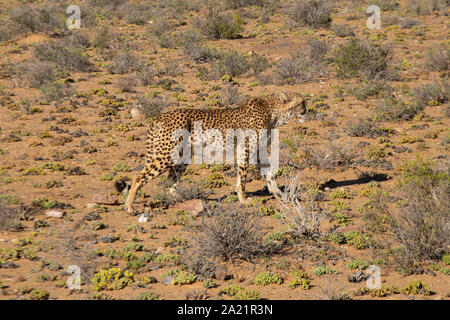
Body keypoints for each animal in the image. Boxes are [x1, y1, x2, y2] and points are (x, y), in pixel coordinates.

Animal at [124, 91, 306, 214]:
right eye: (301, 102)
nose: (306, 109)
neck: (272, 111)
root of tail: (159, 117)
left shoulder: (258, 152)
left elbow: (269, 176)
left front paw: (280, 194)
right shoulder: (245, 150)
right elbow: (242, 179)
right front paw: (244, 200)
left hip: (182, 157)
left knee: (170, 182)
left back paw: (178, 199)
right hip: (166, 155)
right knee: (138, 177)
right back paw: (130, 206)